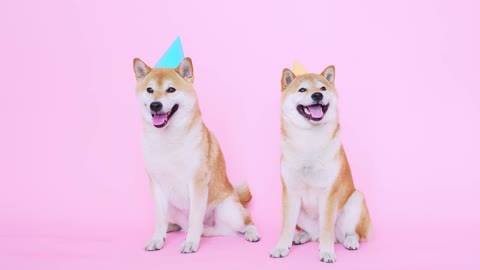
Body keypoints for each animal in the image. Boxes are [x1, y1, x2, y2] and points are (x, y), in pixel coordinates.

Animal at [133, 56, 260, 253]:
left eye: (171, 89)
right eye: (149, 90)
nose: (155, 105)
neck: (169, 140)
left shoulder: (197, 183)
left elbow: (195, 218)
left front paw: (191, 242)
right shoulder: (157, 185)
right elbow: (160, 219)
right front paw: (157, 238)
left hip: (229, 212)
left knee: (244, 223)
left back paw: (250, 233)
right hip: (175, 210)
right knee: (196, 227)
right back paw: (178, 228)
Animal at [270, 66, 372, 264]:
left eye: (323, 88)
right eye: (302, 89)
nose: (317, 95)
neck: (309, 139)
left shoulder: (328, 194)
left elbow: (327, 229)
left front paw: (326, 252)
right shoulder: (290, 193)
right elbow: (286, 227)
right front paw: (281, 247)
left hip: (356, 200)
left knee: (352, 233)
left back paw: (350, 241)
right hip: (300, 213)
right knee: (310, 233)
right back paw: (301, 237)